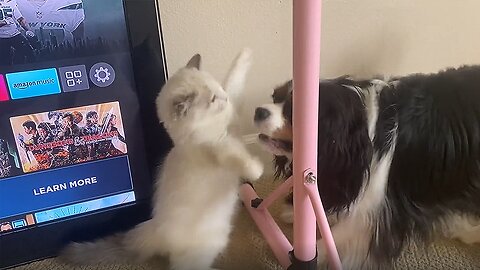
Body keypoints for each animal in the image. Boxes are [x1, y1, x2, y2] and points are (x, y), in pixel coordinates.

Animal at [62, 48, 264, 270]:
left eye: (218, 88)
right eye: (212, 99)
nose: (224, 98)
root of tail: (153, 229)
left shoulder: (233, 118)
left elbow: (234, 79)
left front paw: (245, 53)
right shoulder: (217, 148)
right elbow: (234, 155)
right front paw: (256, 169)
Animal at [253, 65, 478, 268]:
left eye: (294, 110)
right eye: (275, 97)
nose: (258, 111)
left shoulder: (378, 205)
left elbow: (345, 231)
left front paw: (312, 253)